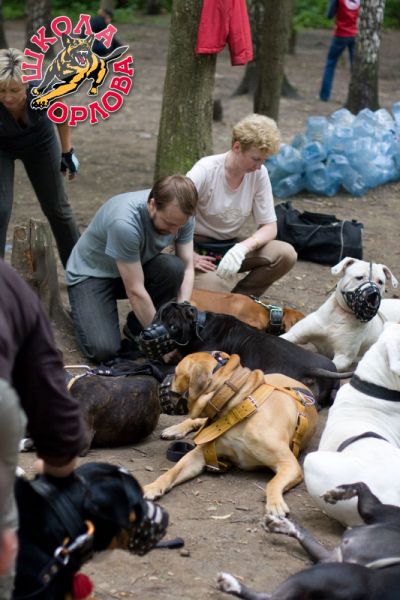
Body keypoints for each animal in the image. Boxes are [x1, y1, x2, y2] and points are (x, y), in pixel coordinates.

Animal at [143, 351, 318, 516]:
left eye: (176, 373)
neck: (236, 407)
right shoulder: (198, 455)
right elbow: (172, 471)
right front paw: (153, 486)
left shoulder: (289, 464)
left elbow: (272, 483)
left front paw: (275, 503)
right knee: (196, 421)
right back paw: (175, 429)